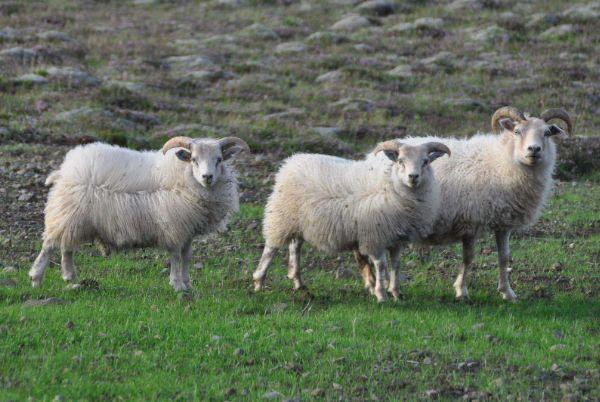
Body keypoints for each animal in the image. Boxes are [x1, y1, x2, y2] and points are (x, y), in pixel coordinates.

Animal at [27, 137, 248, 290]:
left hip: (76, 218)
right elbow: (176, 256)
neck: (183, 176)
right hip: (66, 213)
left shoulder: (187, 230)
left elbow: (187, 257)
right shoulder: (174, 226)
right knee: (49, 244)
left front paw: (187, 284)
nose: (207, 176)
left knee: (66, 245)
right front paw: (177, 285)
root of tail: (66, 169)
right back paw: (36, 278)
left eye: (219, 159)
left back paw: (69, 275)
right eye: (193, 159)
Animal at [252, 141, 450, 302]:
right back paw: (259, 282)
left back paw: (298, 282)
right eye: (400, 161)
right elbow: (381, 265)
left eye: (425, 161)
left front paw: (395, 293)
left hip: (299, 221)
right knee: (270, 249)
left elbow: (395, 265)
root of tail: (291, 162)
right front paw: (381, 294)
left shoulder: (396, 238)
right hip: (281, 217)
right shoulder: (374, 236)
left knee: (295, 247)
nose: (413, 176)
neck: (390, 185)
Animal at [356, 107, 572, 302]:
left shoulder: (503, 223)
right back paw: (372, 284)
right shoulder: (470, 222)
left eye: (547, 133)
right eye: (517, 131)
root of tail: (368, 159)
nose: (533, 150)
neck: (502, 162)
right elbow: (468, 258)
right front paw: (462, 291)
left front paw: (507, 292)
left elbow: (504, 257)